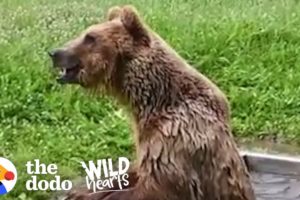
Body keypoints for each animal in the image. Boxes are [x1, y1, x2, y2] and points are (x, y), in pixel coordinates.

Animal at [49, 4, 255, 200]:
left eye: (90, 37)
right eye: (85, 33)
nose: (55, 53)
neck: (154, 100)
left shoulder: (176, 136)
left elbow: (157, 186)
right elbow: (133, 173)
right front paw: (81, 192)